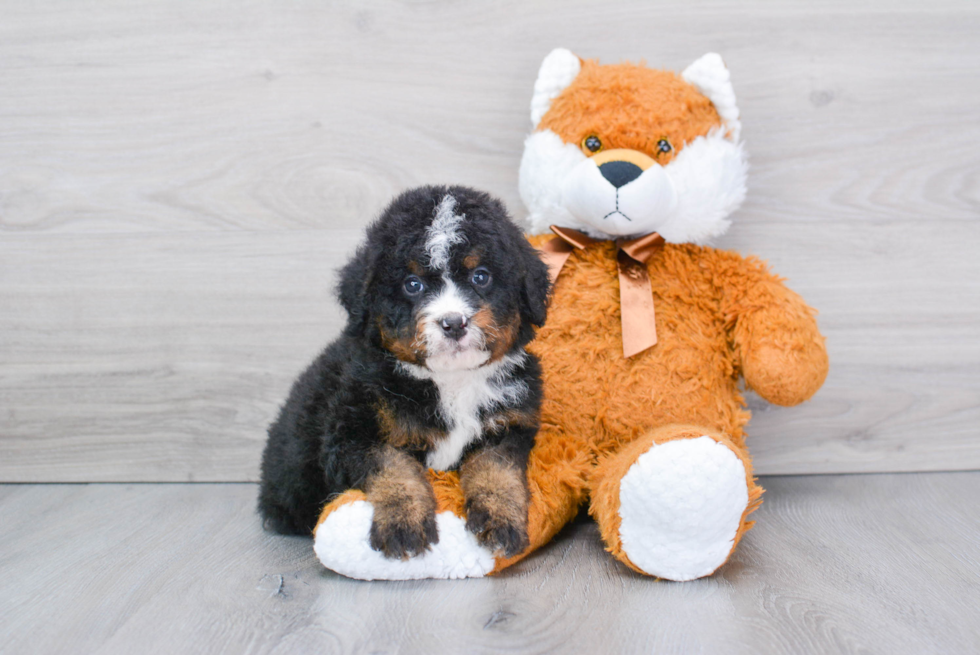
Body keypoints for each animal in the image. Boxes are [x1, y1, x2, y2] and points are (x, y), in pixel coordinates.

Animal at [258, 183, 552, 560]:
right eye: (413, 284)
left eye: (481, 277)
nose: (453, 323)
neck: (451, 380)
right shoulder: (352, 431)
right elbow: (394, 468)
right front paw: (404, 523)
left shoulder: (508, 424)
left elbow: (495, 469)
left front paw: (500, 519)